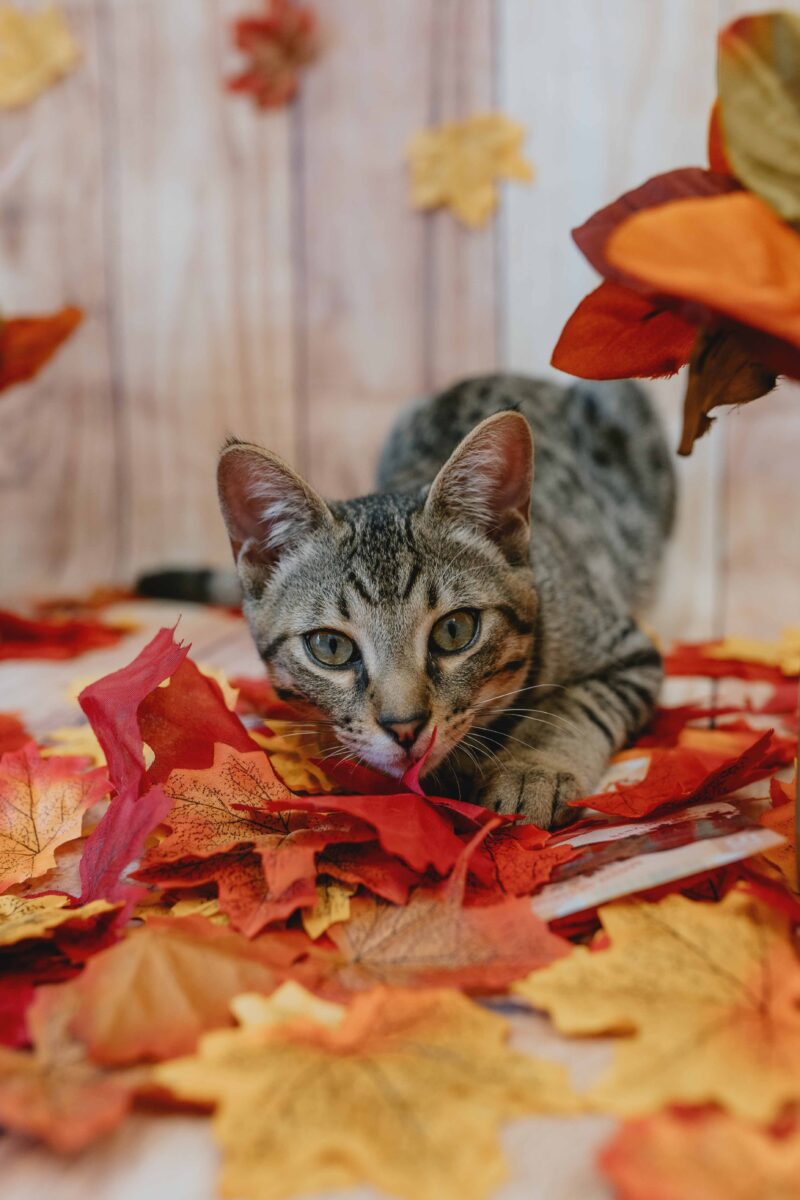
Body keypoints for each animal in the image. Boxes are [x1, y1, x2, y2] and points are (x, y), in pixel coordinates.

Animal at [200, 374, 675, 829]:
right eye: (331, 647)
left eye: (454, 630)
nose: (404, 727)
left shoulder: (629, 650)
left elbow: (574, 706)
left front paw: (531, 770)